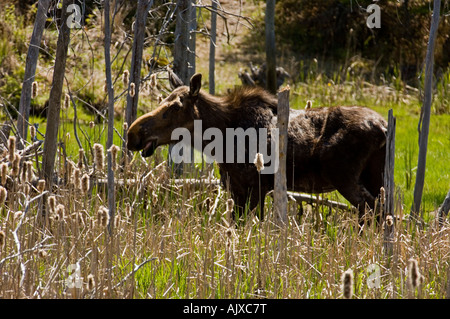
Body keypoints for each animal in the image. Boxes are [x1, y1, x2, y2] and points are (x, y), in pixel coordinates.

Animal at [126, 72, 386, 222]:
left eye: (176, 106)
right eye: (163, 100)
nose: (132, 134)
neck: (218, 139)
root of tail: (383, 126)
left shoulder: (256, 187)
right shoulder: (237, 188)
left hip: (346, 178)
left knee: (372, 211)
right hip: (376, 177)